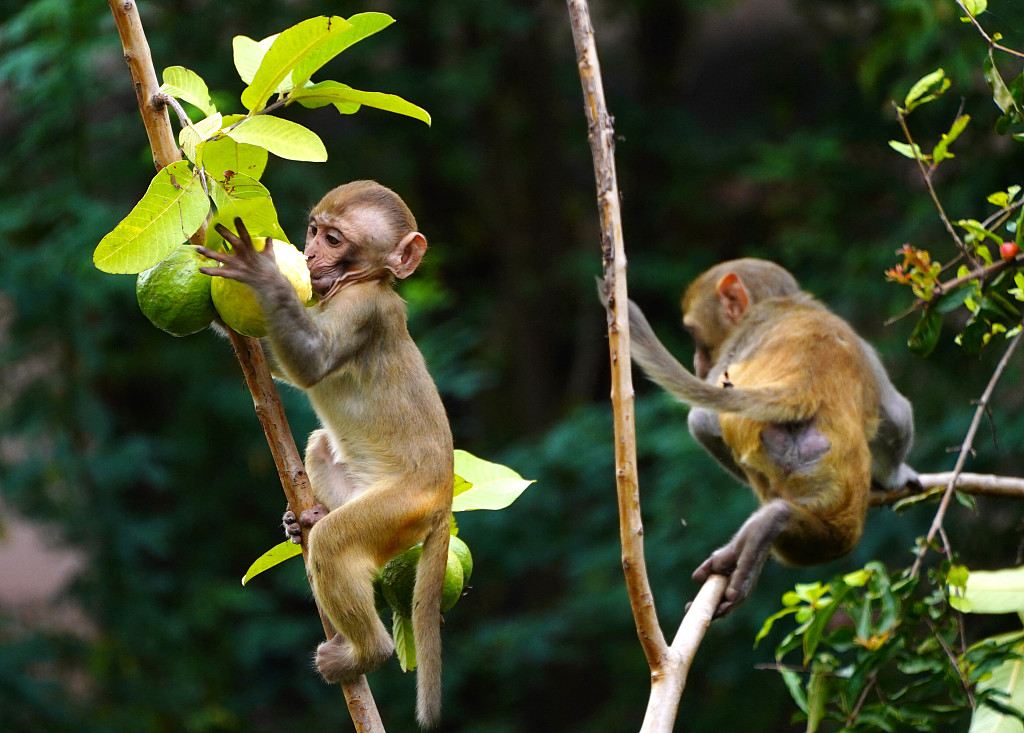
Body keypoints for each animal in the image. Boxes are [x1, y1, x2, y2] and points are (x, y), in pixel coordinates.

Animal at [197, 182, 454, 728]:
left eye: (334, 239)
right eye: (314, 230)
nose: (309, 253)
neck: (363, 282)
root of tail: (443, 499)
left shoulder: (364, 311)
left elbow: (312, 362)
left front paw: (261, 274)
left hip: (401, 506)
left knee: (337, 544)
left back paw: (367, 652)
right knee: (319, 448)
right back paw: (309, 519)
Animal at [606, 259, 921, 618]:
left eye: (695, 335)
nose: (698, 362)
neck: (782, 304)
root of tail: (804, 387)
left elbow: (702, 420)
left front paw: (895, 477)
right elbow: (896, 414)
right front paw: (896, 476)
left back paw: (768, 524)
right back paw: (771, 524)